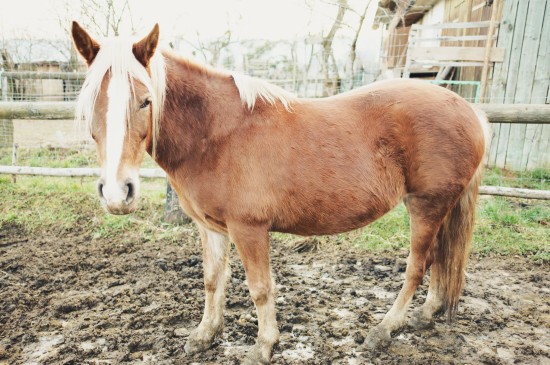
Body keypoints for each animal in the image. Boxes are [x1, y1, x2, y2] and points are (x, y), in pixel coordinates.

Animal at [71, 22, 490, 362]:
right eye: (90, 105)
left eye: (145, 100)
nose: (117, 193)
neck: (216, 134)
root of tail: (469, 109)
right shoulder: (210, 228)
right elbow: (212, 279)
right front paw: (205, 335)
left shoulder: (249, 229)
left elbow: (259, 288)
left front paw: (264, 346)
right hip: (439, 209)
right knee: (439, 260)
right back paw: (425, 314)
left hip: (427, 206)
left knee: (418, 265)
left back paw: (385, 329)